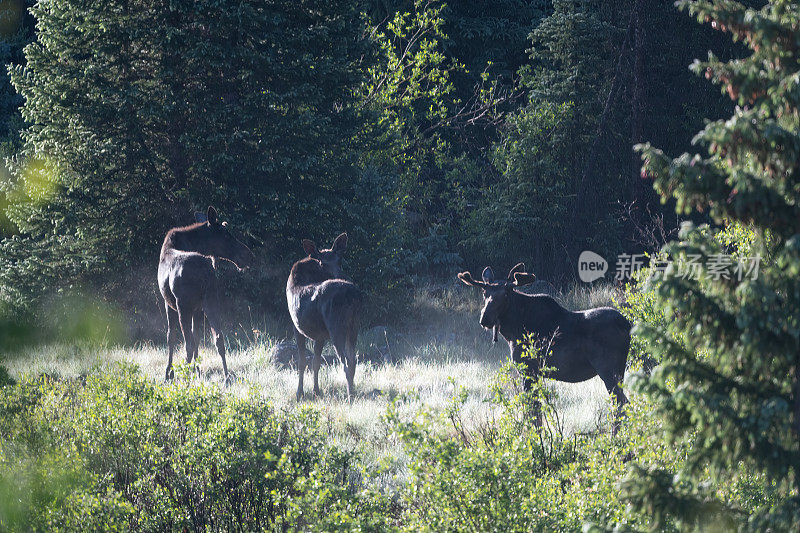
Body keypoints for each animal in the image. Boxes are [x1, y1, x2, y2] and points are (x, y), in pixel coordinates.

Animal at [157, 205, 253, 382]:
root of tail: (205, 272)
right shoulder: (198, 309)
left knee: (187, 344)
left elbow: (170, 337)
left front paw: (169, 373)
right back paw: (226, 377)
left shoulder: (169, 304)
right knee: (219, 338)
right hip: (211, 300)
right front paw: (197, 370)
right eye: (226, 235)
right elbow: (197, 337)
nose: (249, 255)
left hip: (184, 306)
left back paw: (185, 378)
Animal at [288, 233, 362, 400]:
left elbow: (302, 362)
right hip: (354, 326)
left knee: (345, 361)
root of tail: (352, 294)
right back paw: (353, 392)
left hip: (336, 327)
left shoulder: (296, 327)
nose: (342, 275)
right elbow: (316, 362)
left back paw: (349, 395)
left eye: (340, 260)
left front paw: (299, 393)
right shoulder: (320, 335)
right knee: (353, 359)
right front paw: (316, 391)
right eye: (322, 262)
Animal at [456, 262, 632, 432]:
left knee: (620, 404)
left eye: (505, 294)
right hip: (619, 371)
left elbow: (532, 411)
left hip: (608, 369)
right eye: (484, 293)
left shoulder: (528, 369)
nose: (485, 318)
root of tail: (627, 324)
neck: (513, 330)